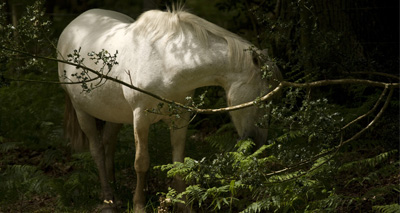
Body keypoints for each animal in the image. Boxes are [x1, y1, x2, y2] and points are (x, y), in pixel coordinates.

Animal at [57, 7, 282, 212]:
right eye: (263, 98)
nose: (258, 143)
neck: (166, 61)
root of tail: (73, 25)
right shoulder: (141, 118)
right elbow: (141, 162)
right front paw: (139, 205)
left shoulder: (180, 118)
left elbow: (178, 162)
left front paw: (184, 206)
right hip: (82, 112)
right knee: (96, 150)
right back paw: (108, 199)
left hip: (114, 114)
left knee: (108, 145)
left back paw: (114, 192)